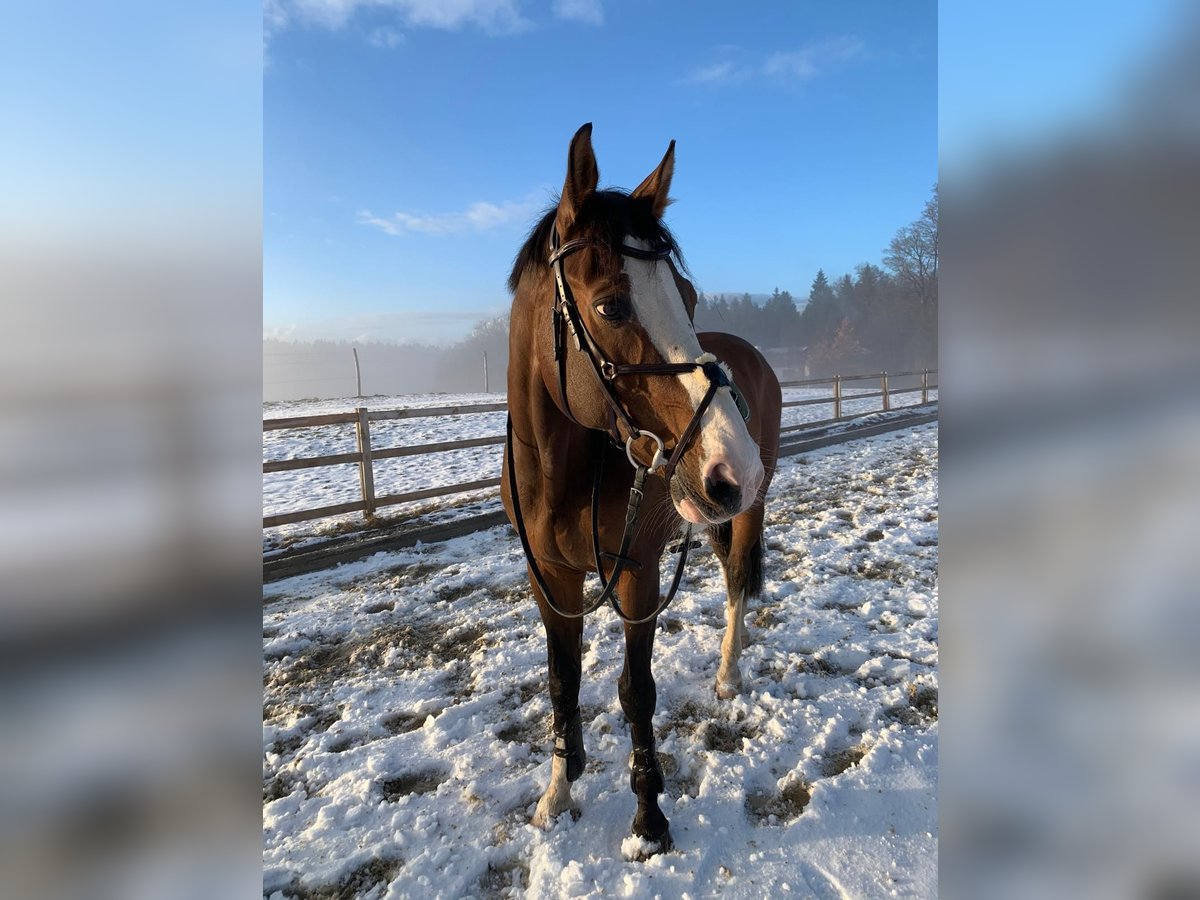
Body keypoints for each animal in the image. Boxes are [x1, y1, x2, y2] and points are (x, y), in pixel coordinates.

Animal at [501, 123, 782, 854]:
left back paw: (726, 674)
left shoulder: (636, 573)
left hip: (741, 511)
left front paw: (649, 817)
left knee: (738, 579)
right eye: (610, 305)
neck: (560, 472)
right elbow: (562, 681)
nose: (735, 465)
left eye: (687, 295)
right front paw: (558, 792)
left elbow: (636, 690)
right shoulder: (550, 578)